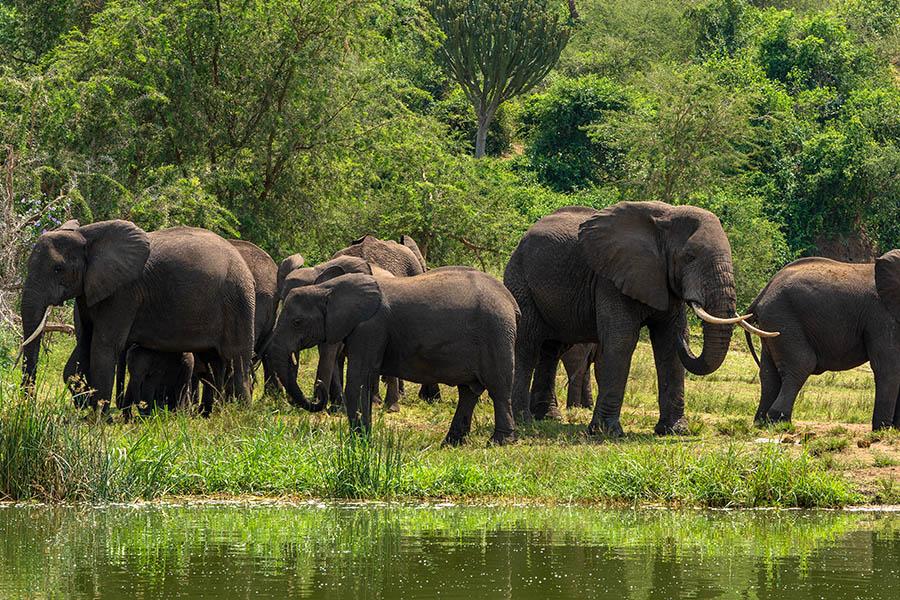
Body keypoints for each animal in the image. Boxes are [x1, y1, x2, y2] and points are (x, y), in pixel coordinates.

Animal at [20, 220, 256, 415]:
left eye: (58, 268)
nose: (27, 411)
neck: (86, 235)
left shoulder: (124, 293)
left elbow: (103, 345)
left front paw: (96, 420)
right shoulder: (90, 290)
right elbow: (84, 344)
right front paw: (86, 410)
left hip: (238, 300)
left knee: (236, 358)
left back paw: (241, 414)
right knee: (212, 362)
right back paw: (211, 414)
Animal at [269, 267, 518, 445]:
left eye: (297, 322)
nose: (318, 396)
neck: (326, 289)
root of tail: (510, 300)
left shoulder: (370, 327)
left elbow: (358, 381)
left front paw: (359, 442)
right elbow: (363, 381)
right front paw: (363, 439)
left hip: (496, 333)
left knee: (498, 389)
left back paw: (499, 442)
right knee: (468, 392)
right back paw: (451, 443)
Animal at [504, 202, 777, 436]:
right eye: (689, 257)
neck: (665, 218)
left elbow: (668, 345)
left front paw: (675, 431)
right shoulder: (610, 278)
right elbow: (621, 341)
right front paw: (607, 433)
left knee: (551, 349)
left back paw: (548, 417)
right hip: (520, 280)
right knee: (529, 345)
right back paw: (524, 420)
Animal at [746, 252, 900, 430]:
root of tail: (763, 292)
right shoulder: (881, 315)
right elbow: (889, 366)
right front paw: (882, 430)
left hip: (772, 325)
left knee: (769, 373)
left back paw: (761, 423)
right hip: (783, 319)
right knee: (801, 364)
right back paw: (780, 423)